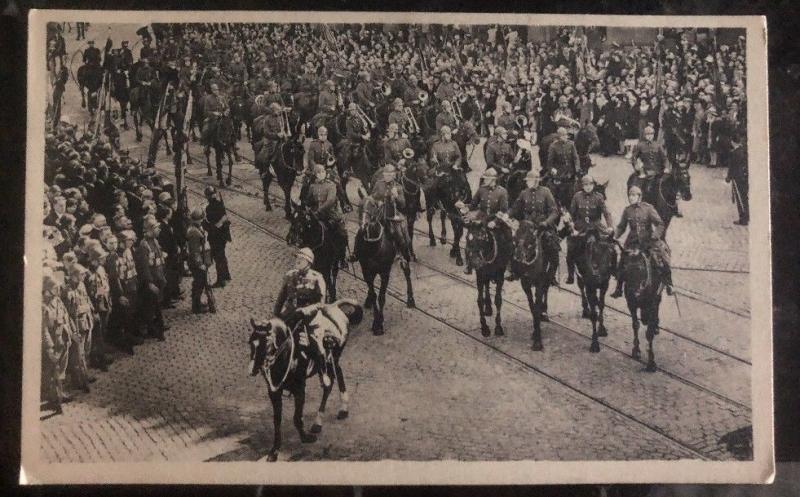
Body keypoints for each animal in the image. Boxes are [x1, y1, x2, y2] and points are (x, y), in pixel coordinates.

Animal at [248, 296, 364, 460]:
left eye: (267, 342)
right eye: (250, 342)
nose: (252, 370)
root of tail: (334, 307)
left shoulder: (299, 389)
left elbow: (297, 417)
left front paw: (305, 437)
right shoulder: (273, 392)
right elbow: (277, 421)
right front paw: (274, 450)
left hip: (331, 359)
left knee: (329, 384)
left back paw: (319, 422)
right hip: (330, 361)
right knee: (339, 374)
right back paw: (343, 408)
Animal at [358, 197, 418, 334]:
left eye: (374, 207)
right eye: (359, 206)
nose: (364, 226)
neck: (373, 248)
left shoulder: (385, 272)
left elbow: (381, 297)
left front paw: (379, 324)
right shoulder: (366, 271)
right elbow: (374, 295)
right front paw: (376, 319)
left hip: (404, 249)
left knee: (407, 271)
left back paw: (411, 300)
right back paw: (368, 300)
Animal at [512, 219, 556, 350]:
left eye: (531, 241)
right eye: (515, 238)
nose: (518, 257)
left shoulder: (539, 283)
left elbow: (536, 307)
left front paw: (537, 341)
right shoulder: (525, 284)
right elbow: (532, 307)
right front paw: (535, 333)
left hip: (549, 274)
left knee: (546, 289)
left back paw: (544, 311)